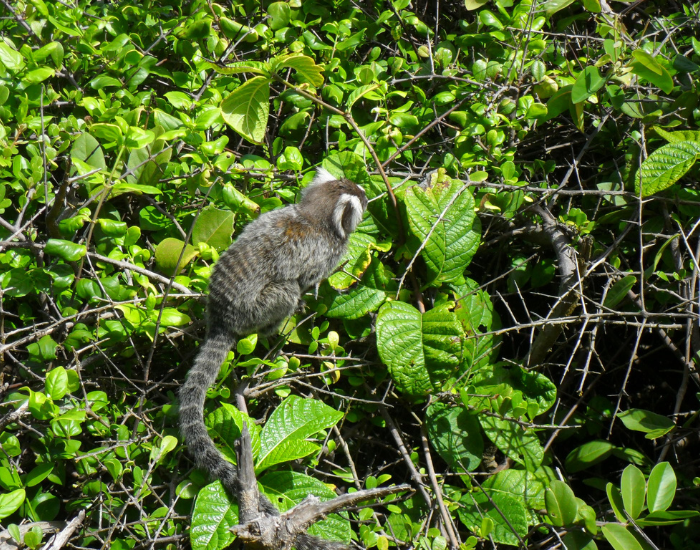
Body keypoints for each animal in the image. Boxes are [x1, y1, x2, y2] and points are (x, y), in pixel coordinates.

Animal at [178, 168, 367, 547]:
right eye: (360, 199)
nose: (368, 198)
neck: (315, 217)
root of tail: (223, 319)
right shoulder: (323, 254)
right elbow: (310, 279)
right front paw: (317, 291)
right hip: (259, 309)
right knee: (288, 290)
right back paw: (276, 328)